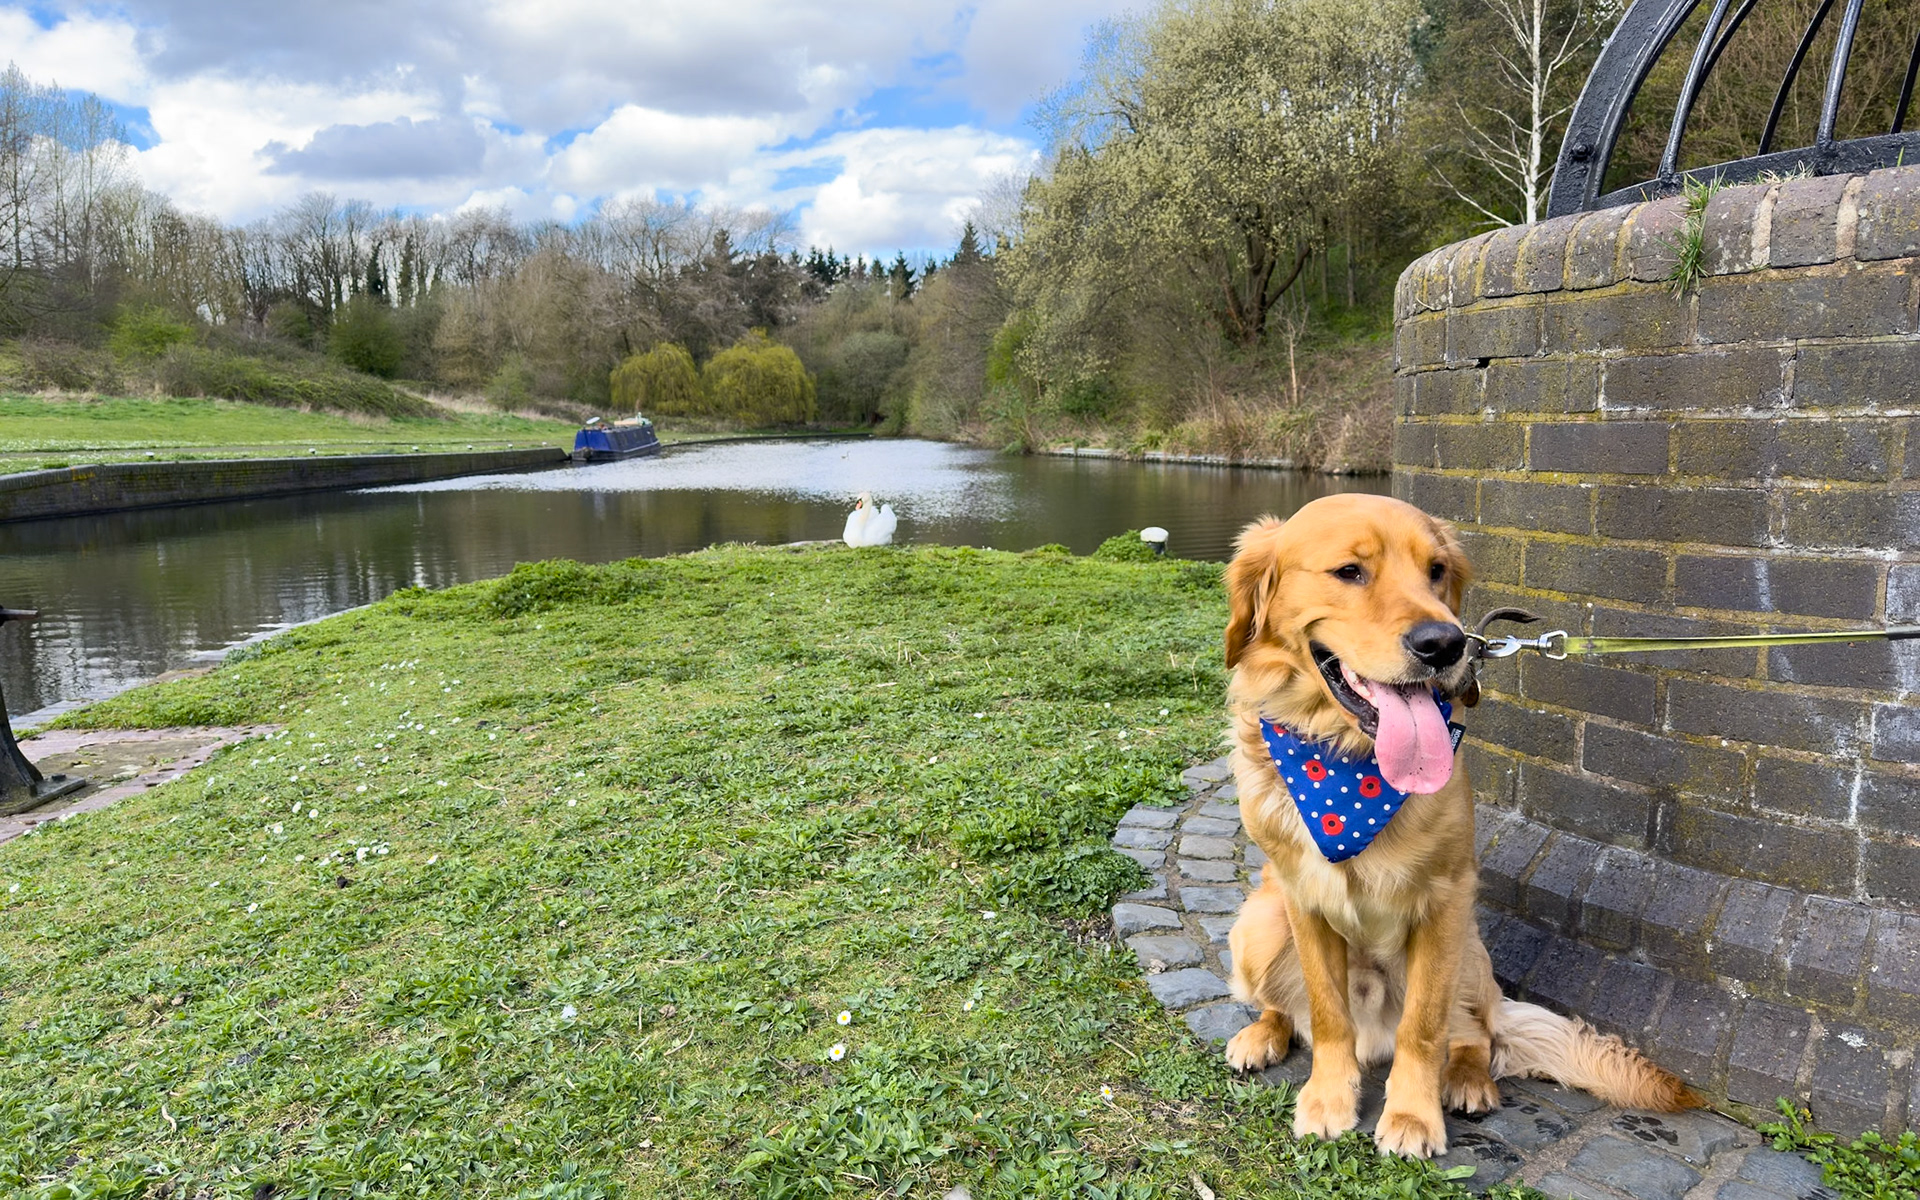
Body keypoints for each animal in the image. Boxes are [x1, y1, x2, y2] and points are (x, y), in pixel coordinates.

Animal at [1218, 494, 1693, 1158]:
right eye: (1349, 572)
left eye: (1436, 571)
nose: (1444, 643)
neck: (1345, 767)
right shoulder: (1301, 897)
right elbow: (1328, 1012)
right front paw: (1329, 1099)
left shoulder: (1446, 901)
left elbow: (1424, 1027)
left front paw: (1412, 1116)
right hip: (1258, 924)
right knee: (1289, 1009)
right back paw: (1262, 1034)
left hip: (1468, 946)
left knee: (1472, 1033)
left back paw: (1467, 1081)